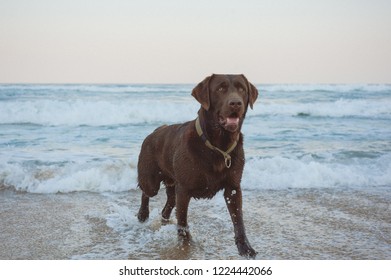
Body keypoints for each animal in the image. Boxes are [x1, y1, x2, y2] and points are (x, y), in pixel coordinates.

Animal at [136, 73, 258, 258]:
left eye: (242, 89)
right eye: (220, 88)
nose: (236, 103)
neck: (217, 146)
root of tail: (155, 131)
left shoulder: (233, 188)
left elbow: (239, 221)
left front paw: (245, 248)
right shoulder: (184, 189)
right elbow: (183, 221)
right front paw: (185, 246)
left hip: (172, 182)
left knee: (170, 201)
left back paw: (164, 217)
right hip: (151, 181)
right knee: (146, 193)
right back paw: (143, 215)